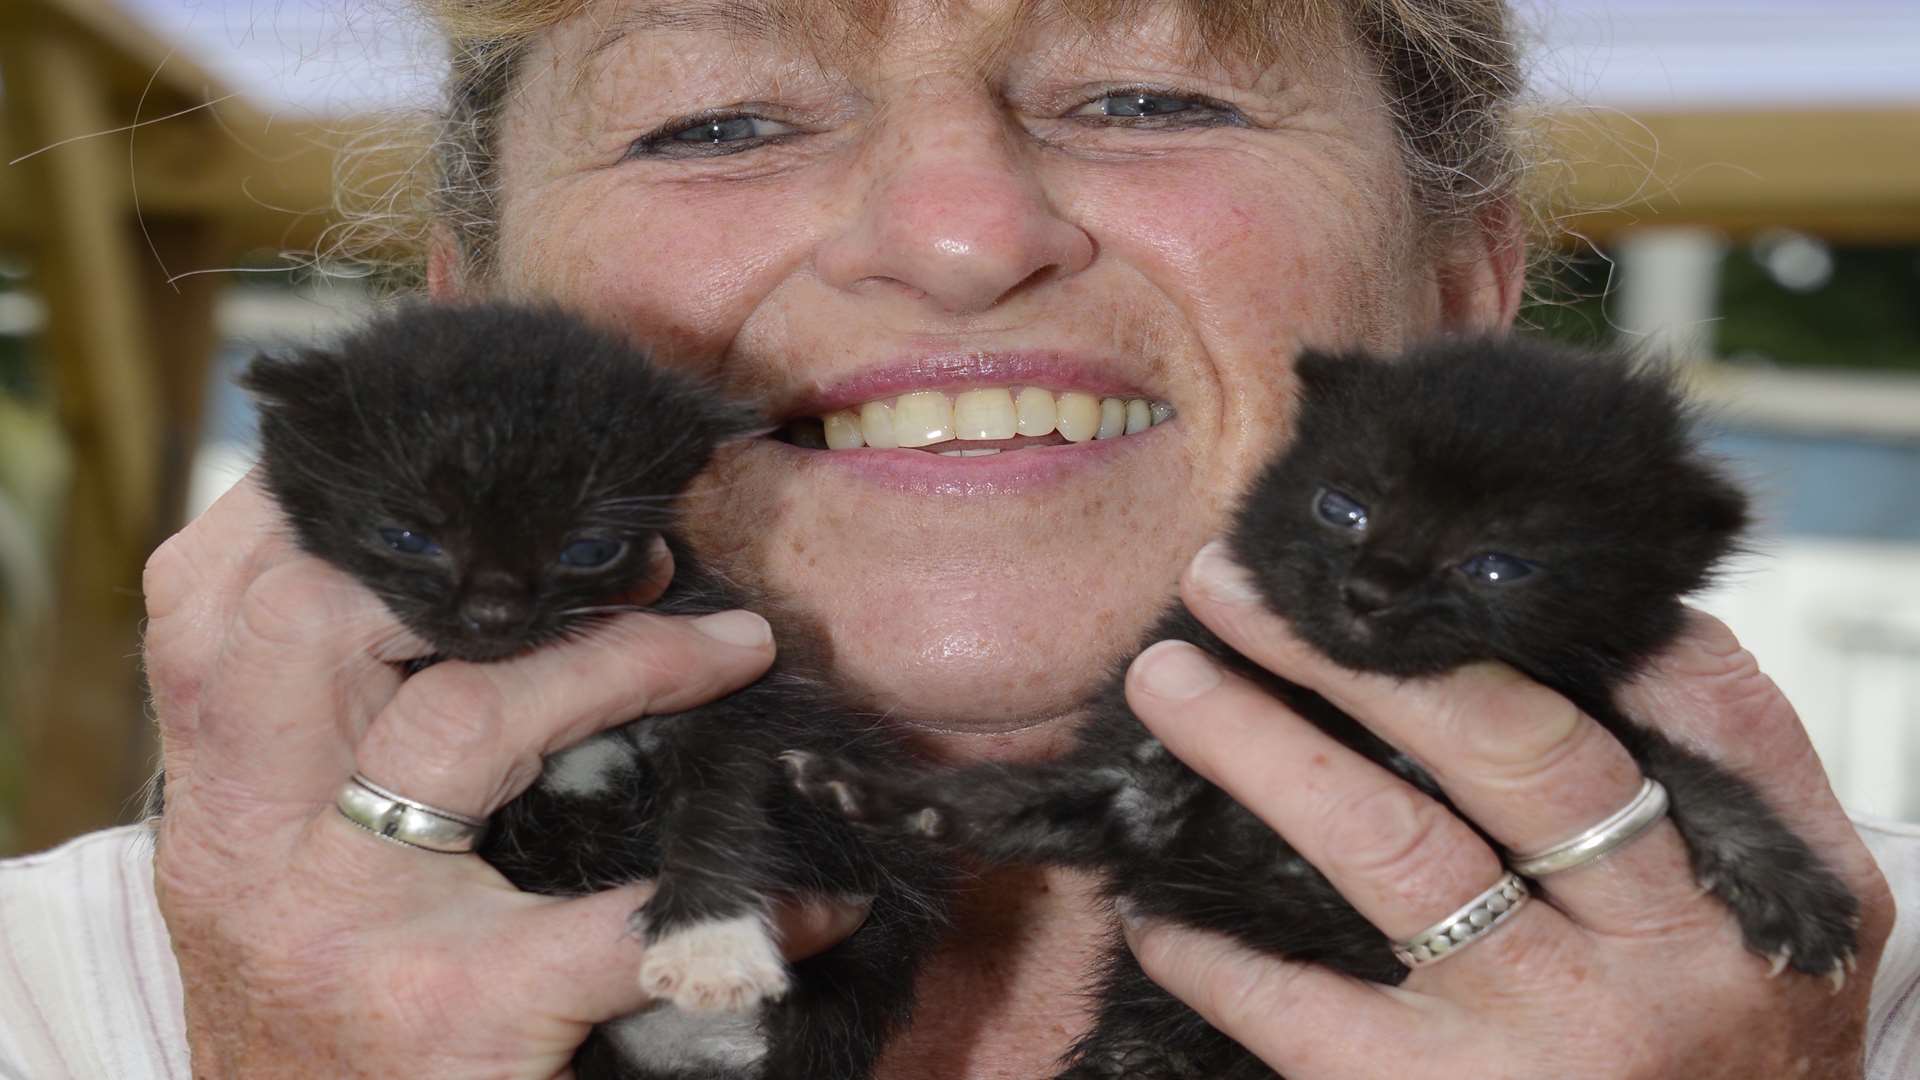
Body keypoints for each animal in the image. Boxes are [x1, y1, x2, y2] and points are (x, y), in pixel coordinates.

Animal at [243, 299, 948, 1076]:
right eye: (406, 537)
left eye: (588, 549)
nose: (493, 613)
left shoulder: (724, 675)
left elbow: (722, 792)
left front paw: (709, 939)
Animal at [783, 336, 1858, 1076]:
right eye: (1343, 507)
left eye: (1497, 564)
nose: (1370, 590)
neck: (1350, 722)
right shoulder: (1146, 776)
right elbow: (1023, 800)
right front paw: (877, 794)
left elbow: (1687, 777)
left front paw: (1787, 883)